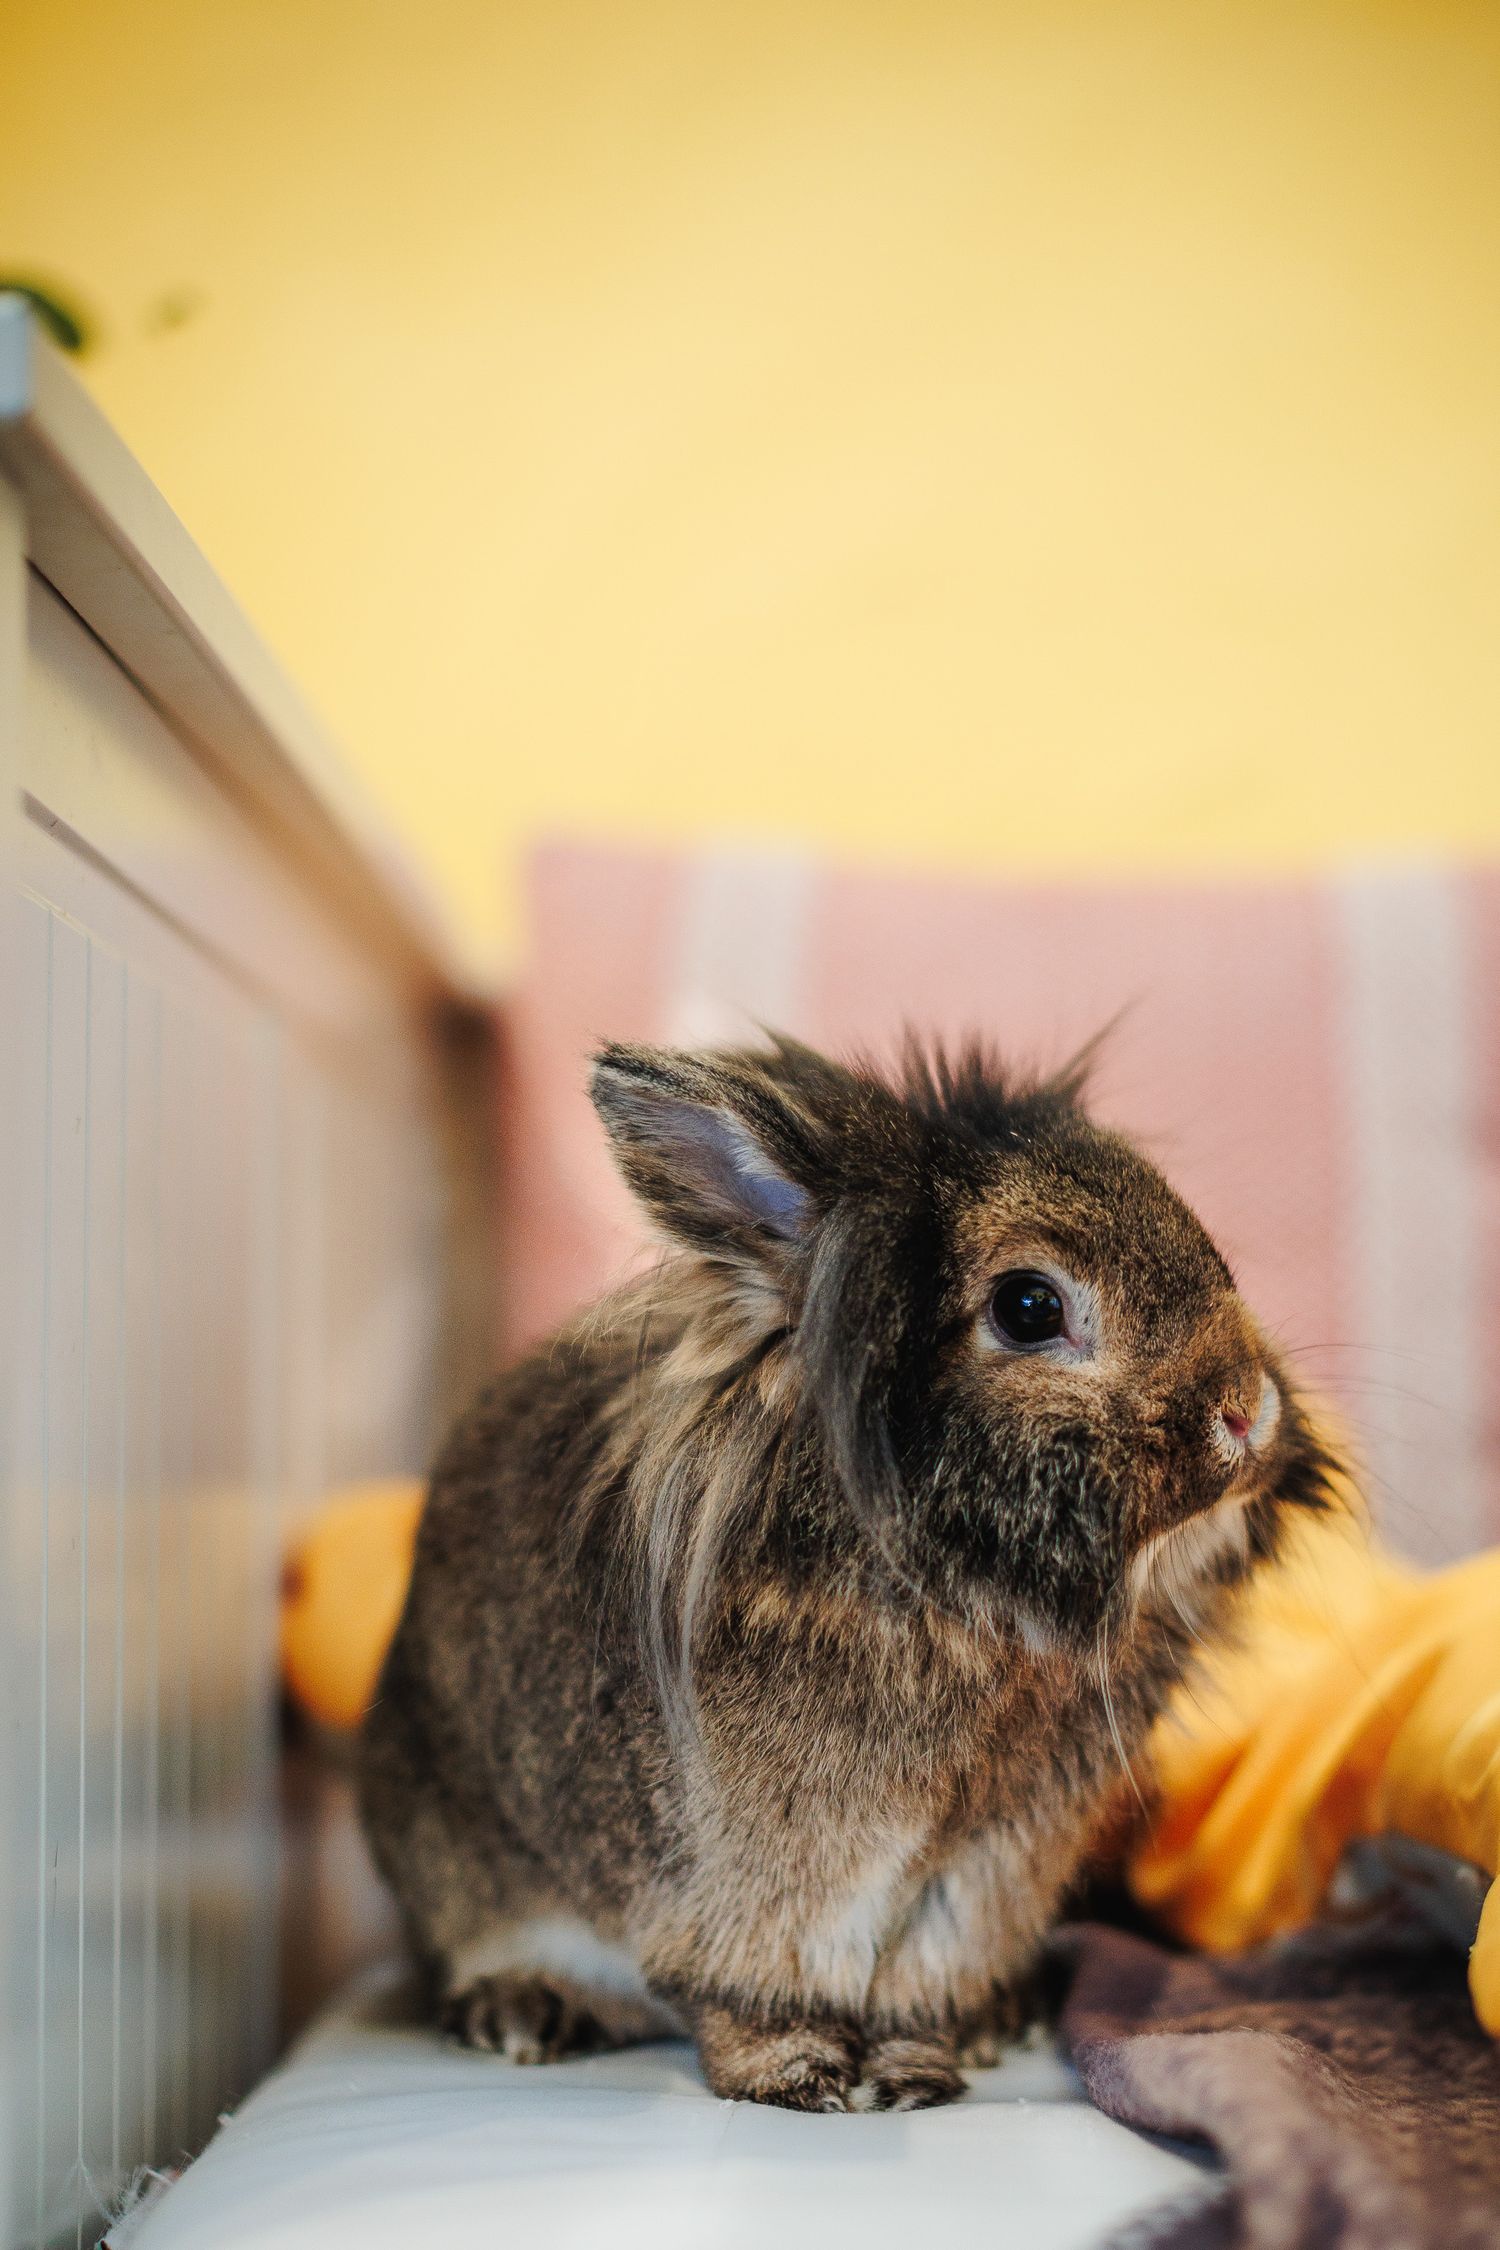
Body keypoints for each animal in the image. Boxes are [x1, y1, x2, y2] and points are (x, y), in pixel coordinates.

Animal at [359, 1033, 1335, 2112]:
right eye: (1029, 1306)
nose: (1248, 1410)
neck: (961, 1601)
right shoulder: (751, 1879)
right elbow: (742, 1991)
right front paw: (804, 2079)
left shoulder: (974, 1881)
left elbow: (914, 1994)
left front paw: (914, 2075)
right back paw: (522, 2014)